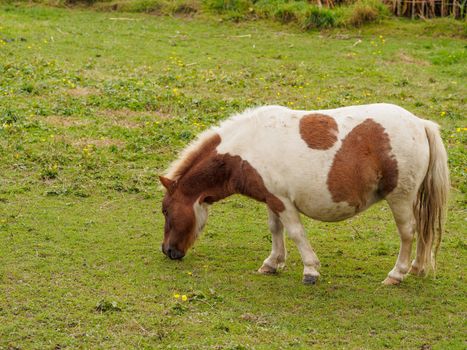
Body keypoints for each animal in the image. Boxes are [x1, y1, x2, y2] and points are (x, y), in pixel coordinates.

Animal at [160, 103, 450, 284]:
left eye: (165, 210)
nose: (167, 251)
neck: (248, 146)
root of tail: (420, 124)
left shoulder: (283, 201)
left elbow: (296, 233)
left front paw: (310, 270)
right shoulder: (271, 199)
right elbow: (275, 229)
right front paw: (272, 263)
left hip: (400, 197)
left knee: (408, 232)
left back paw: (397, 274)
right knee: (422, 230)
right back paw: (417, 267)